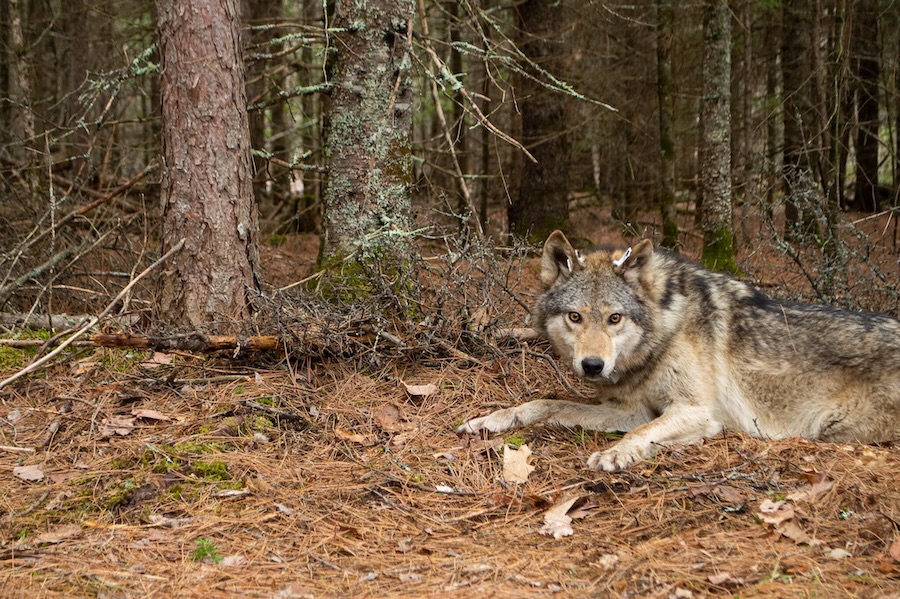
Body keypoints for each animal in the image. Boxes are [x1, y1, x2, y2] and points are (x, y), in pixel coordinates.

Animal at [460, 232, 900, 472]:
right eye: (575, 317)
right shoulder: (629, 409)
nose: (593, 365)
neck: (664, 333)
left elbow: (642, 432)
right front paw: (490, 420)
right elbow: (544, 405)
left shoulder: (697, 412)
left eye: (615, 318)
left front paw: (617, 454)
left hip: (830, 430)